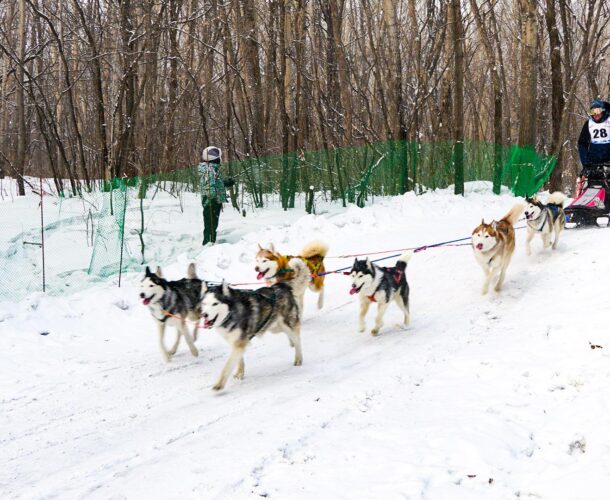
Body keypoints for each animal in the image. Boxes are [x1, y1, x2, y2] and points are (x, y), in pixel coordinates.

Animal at [201, 258, 308, 390]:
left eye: (215, 303)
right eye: (204, 304)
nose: (204, 315)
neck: (231, 313)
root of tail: (280, 285)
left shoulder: (239, 343)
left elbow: (227, 366)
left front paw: (219, 384)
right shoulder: (237, 342)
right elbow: (239, 361)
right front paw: (240, 373)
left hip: (287, 323)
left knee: (297, 338)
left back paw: (298, 358)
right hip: (274, 327)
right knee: (290, 335)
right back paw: (291, 343)